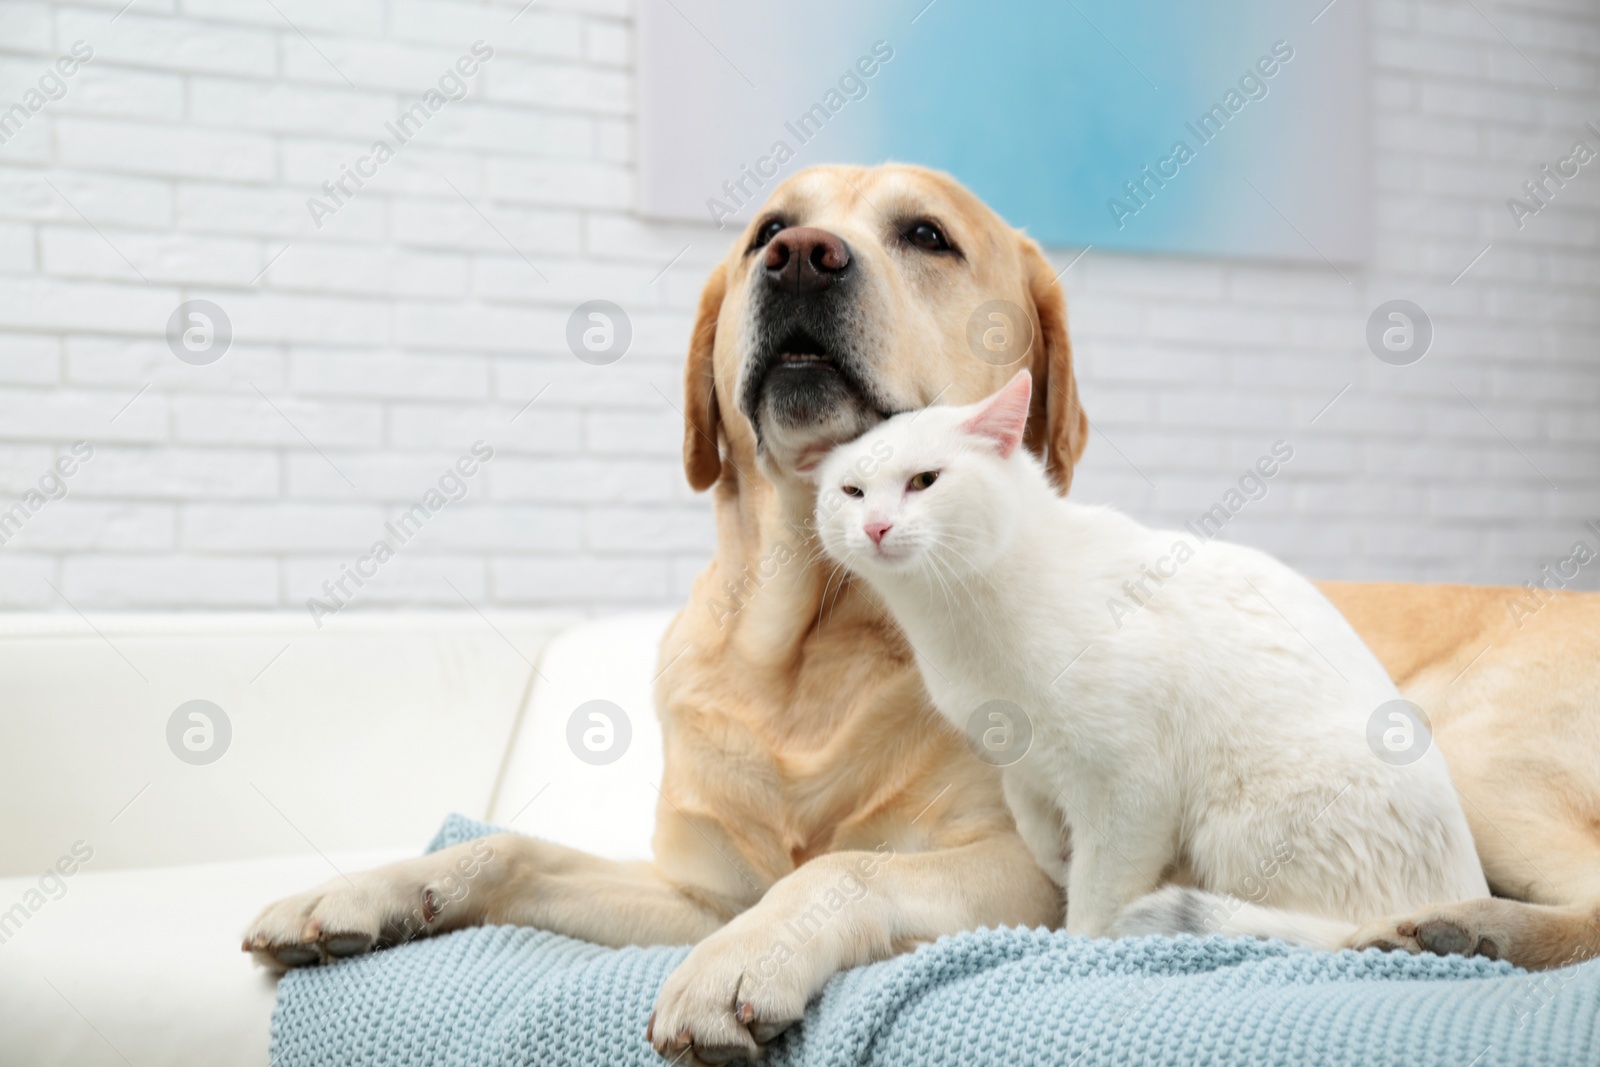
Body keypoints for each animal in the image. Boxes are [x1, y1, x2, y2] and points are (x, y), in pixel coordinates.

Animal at [812, 371, 1484, 947]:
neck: (955, 624)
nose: (875, 526)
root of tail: (1462, 896)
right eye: (852, 492)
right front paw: (1055, 855)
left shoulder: (1129, 788)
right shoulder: (1017, 755)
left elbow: (1098, 894)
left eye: (925, 481)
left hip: (1235, 824)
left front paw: (1077, 944)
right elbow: (1028, 816)